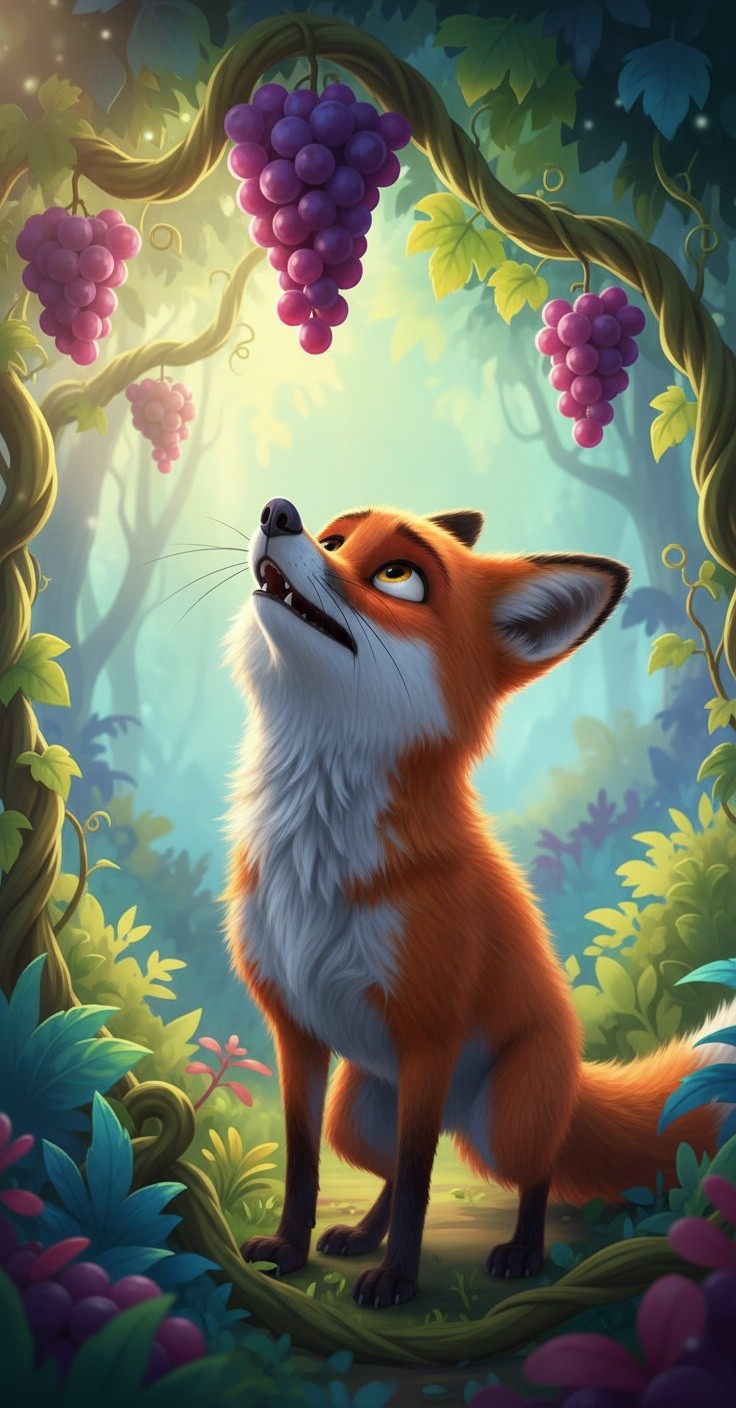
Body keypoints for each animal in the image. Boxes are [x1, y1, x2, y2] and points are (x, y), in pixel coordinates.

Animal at [223, 496, 736, 1310]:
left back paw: (522, 1251)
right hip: (357, 1117)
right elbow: (308, 1166)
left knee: (534, 1171)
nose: (279, 512)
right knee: (392, 1165)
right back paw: (359, 1235)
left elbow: (421, 1183)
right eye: (335, 538)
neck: (317, 854)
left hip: (506, 1120)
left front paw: (400, 1281)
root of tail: (574, 1074)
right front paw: (291, 1251)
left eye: (399, 576)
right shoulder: (296, 1033)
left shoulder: (429, 1037)